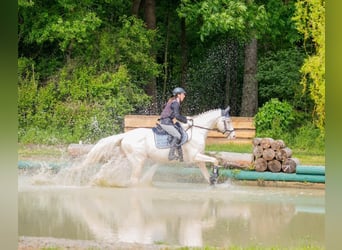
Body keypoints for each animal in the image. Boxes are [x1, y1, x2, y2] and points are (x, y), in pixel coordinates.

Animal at [84, 106, 236, 186]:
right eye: (228, 121)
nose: (234, 136)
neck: (197, 131)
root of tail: (125, 135)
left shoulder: (199, 160)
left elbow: (206, 175)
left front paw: (213, 180)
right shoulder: (195, 157)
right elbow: (215, 160)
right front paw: (215, 175)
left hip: (122, 158)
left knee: (105, 169)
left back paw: (95, 181)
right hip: (138, 160)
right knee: (133, 180)